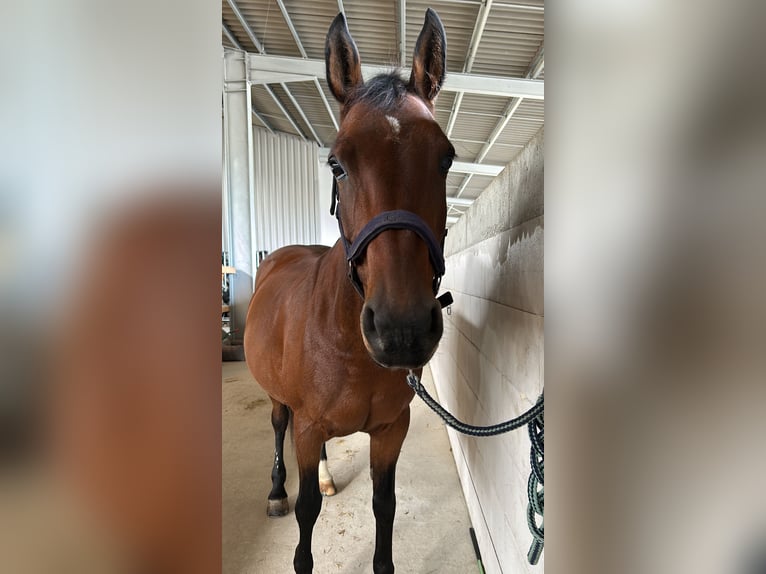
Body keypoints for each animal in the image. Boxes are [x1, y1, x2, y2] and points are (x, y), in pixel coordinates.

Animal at [243, 10, 452, 574]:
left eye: (446, 159)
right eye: (337, 163)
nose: (401, 330)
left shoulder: (391, 430)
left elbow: (385, 504)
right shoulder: (309, 426)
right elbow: (308, 511)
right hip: (279, 401)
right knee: (278, 426)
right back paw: (275, 491)